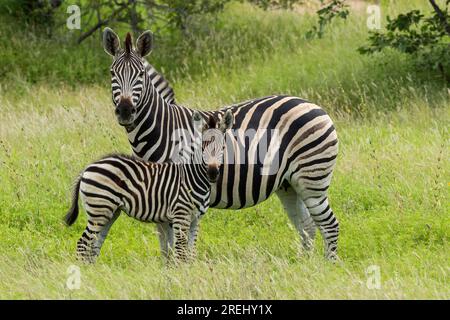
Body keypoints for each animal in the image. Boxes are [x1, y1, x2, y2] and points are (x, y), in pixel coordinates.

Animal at [65, 110, 234, 262]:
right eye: (202, 147)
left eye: (223, 148)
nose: (212, 173)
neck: (192, 177)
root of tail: (88, 168)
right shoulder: (181, 216)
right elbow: (180, 253)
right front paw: (181, 274)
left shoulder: (195, 219)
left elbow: (191, 254)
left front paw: (190, 272)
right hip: (99, 210)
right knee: (83, 244)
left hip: (110, 212)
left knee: (94, 246)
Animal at [103, 28, 342, 260]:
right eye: (112, 73)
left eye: (141, 74)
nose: (125, 111)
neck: (164, 130)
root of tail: (314, 105)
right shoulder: (158, 196)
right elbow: (165, 247)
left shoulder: (175, 194)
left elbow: (175, 246)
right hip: (289, 184)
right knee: (308, 226)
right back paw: (304, 265)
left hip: (312, 178)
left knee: (329, 225)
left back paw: (326, 266)